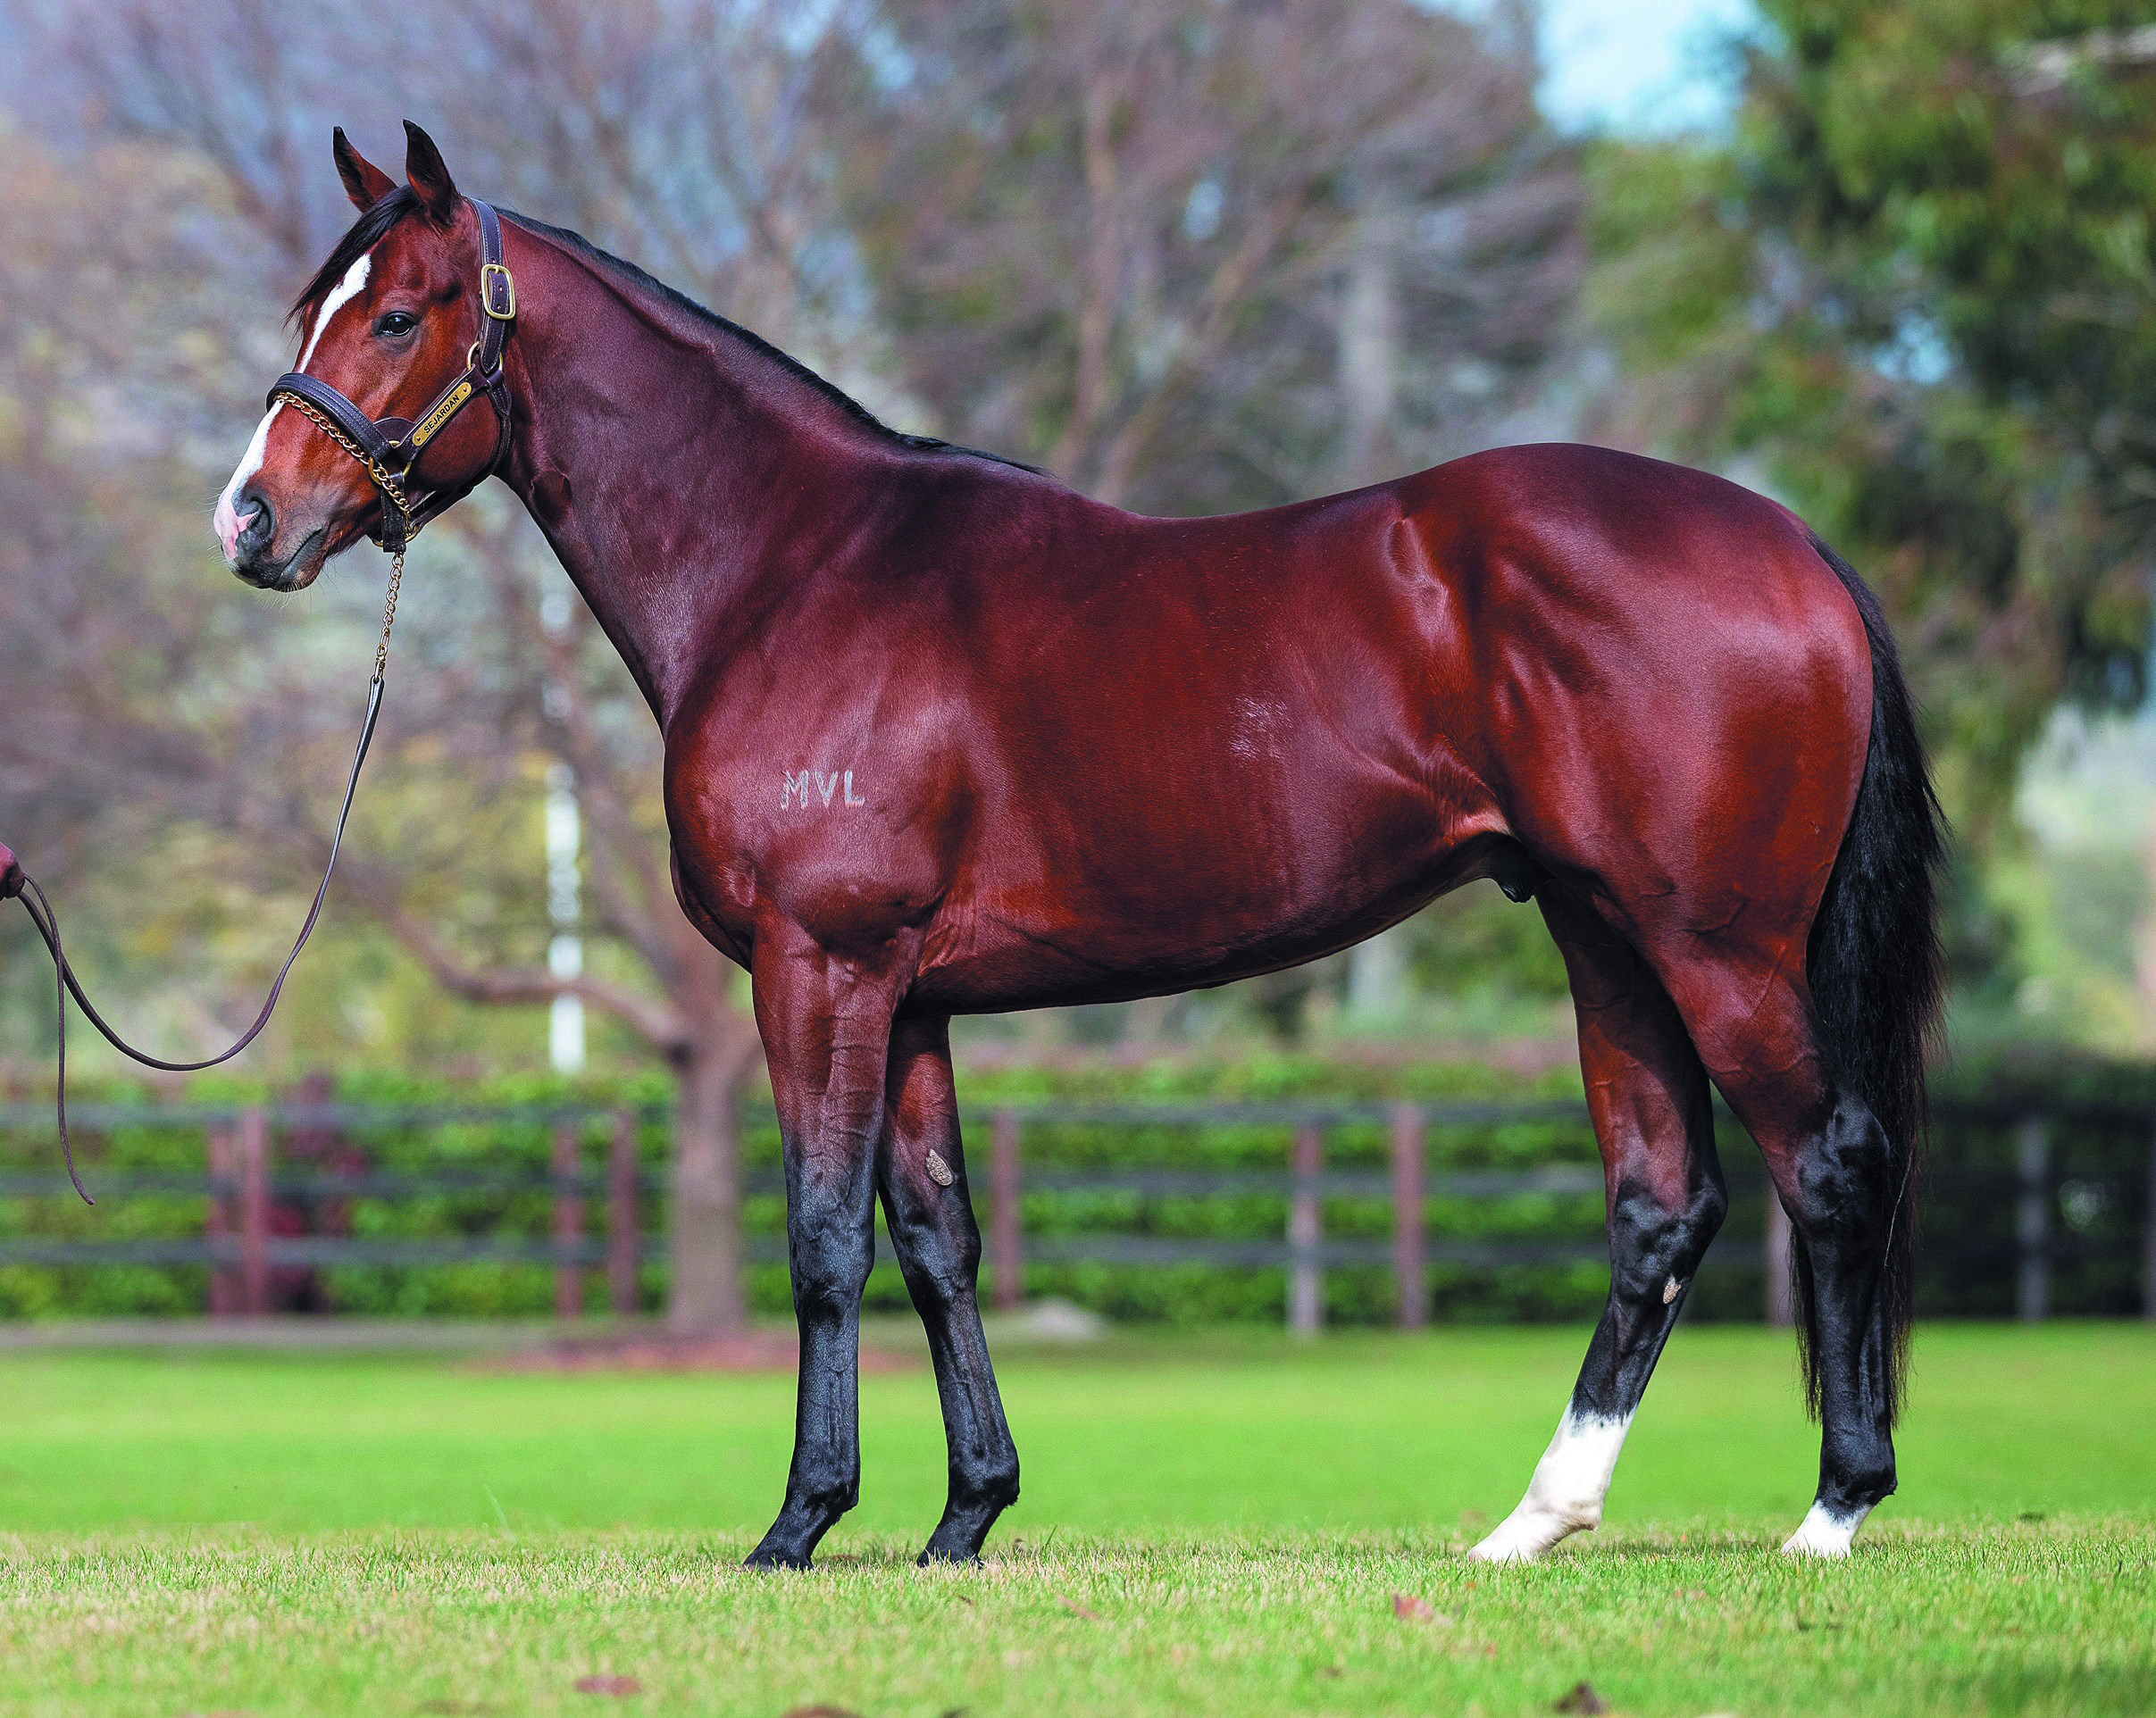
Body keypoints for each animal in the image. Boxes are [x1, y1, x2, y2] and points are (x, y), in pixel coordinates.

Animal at [214, 121, 1940, 1569]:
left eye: (395, 315)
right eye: (315, 303)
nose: (248, 520)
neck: (793, 568)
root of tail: (1787, 541)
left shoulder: (818, 965)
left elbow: (824, 1236)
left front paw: (800, 1523)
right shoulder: (905, 995)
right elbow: (937, 1240)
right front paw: (963, 1516)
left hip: (1711, 943)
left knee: (1829, 1163)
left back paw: (1830, 1510)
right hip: (1598, 932)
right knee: (1661, 1203)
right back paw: (1534, 1521)